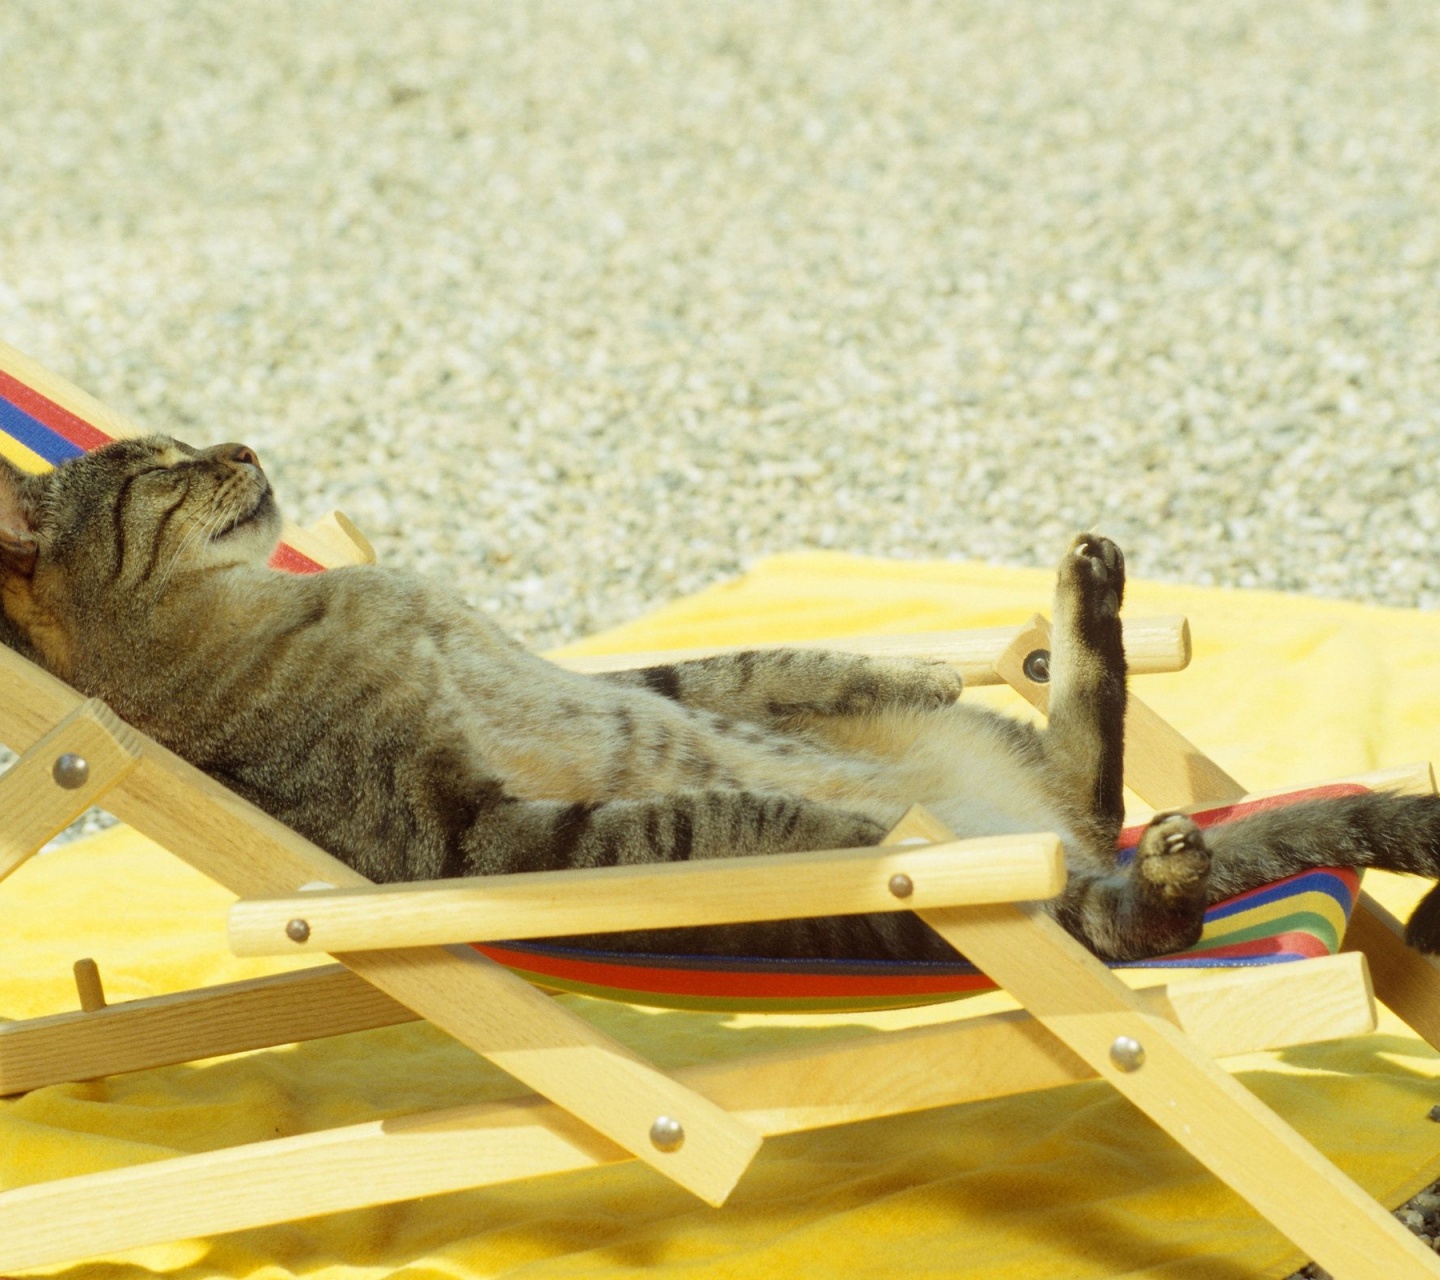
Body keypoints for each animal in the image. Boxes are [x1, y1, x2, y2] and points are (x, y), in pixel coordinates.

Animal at [2, 434, 1440, 961]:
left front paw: (888, 663)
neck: (276, 607)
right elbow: (702, 821)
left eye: (195, 441)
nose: (243, 443)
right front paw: (843, 829)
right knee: (1122, 912)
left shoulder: (591, 670)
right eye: (161, 467)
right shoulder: (471, 841)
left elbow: (735, 670)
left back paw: (1084, 599)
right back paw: (1153, 873)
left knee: (1089, 777)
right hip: (965, 905)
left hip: (1017, 775)